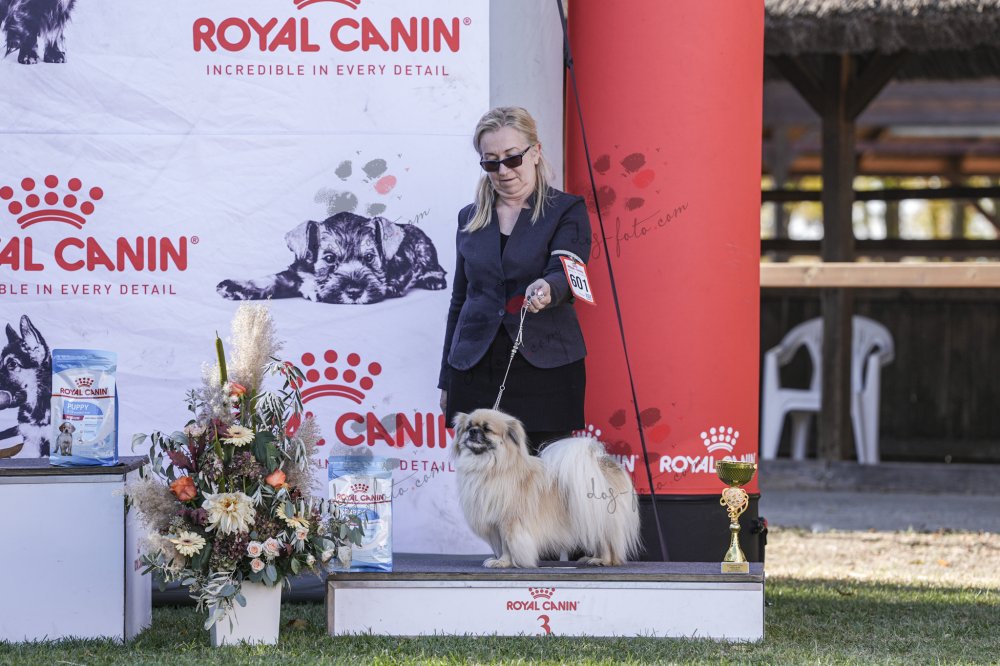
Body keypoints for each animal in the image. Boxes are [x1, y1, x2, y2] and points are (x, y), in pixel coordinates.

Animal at [217, 212, 448, 304]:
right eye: (329, 258)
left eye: (369, 257)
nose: (354, 292)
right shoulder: (294, 274)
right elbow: (267, 280)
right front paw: (233, 287)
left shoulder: (404, 266)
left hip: (425, 250)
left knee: (437, 268)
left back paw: (433, 280)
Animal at [452, 408, 640, 568]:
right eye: (468, 427)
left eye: (487, 429)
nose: (473, 431)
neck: (490, 466)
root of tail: (604, 462)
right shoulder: (496, 524)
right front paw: (502, 561)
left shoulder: (509, 522)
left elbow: (507, 545)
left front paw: (503, 562)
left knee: (608, 543)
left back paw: (602, 560)